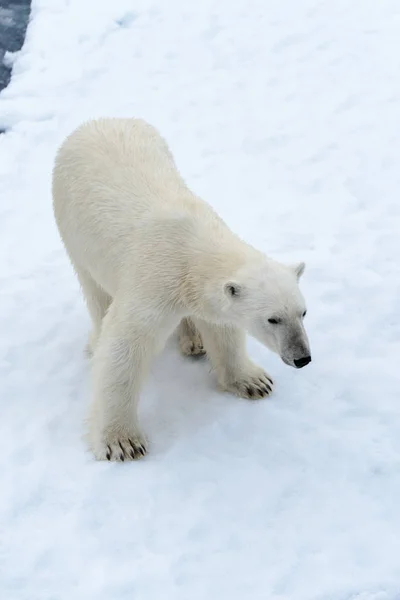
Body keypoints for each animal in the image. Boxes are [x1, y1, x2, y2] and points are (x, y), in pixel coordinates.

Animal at [51, 118, 310, 464]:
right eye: (273, 319)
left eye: (303, 313)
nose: (302, 358)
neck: (193, 250)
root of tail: (96, 121)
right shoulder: (153, 281)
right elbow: (124, 348)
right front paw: (122, 442)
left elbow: (222, 329)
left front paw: (253, 381)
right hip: (72, 227)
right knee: (95, 292)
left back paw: (194, 340)